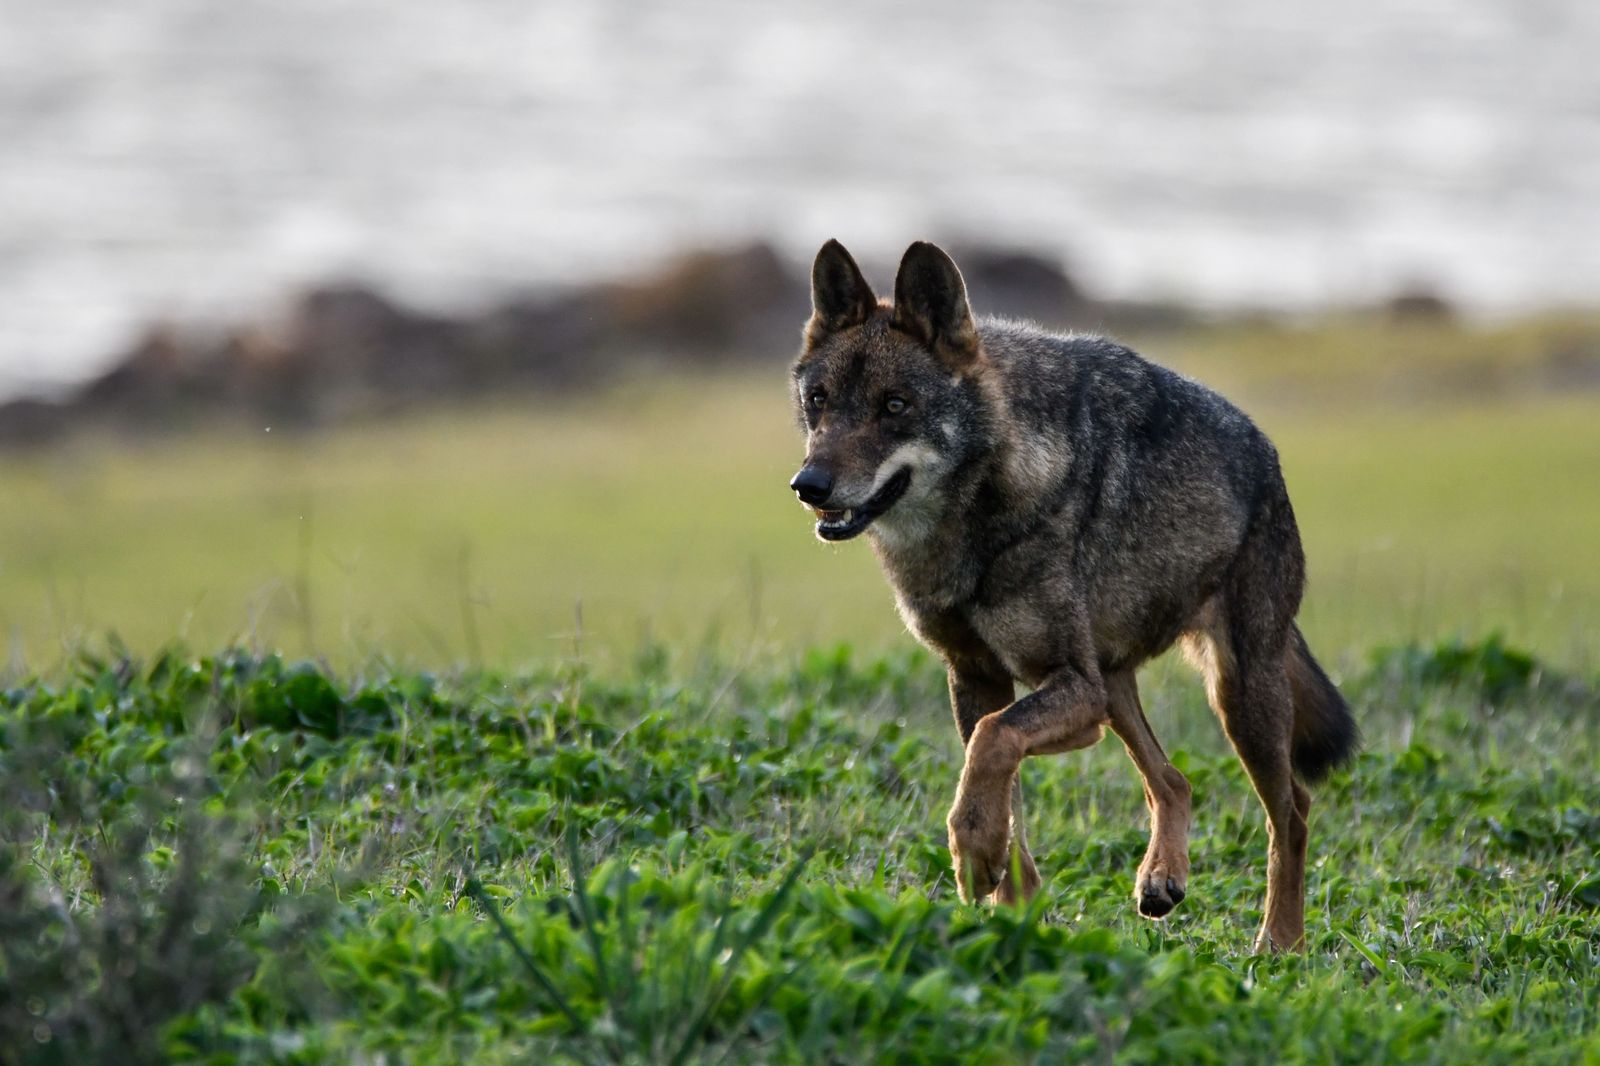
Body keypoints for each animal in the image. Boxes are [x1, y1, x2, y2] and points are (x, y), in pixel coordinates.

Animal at [788, 239, 1357, 952]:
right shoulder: (977, 680)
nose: (808, 485)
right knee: (1174, 782)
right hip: (1116, 688)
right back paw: (1163, 878)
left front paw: (974, 854)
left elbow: (992, 747)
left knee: (1294, 811)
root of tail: (1269, 453)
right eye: (819, 400)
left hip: (1233, 694)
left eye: (894, 406)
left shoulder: (1065, 692)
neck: (973, 523)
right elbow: (998, 786)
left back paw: (1278, 944)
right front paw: (1011, 900)